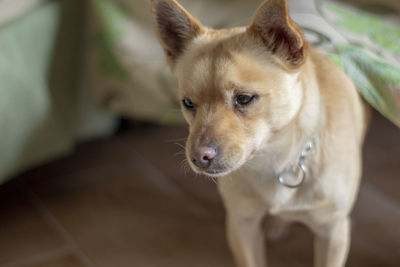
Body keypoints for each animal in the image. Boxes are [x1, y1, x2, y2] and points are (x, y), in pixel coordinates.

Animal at [152, 1, 368, 266]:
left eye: (244, 98)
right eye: (188, 103)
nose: (198, 158)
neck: (274, 160)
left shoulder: (331, 234)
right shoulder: (242, 224)